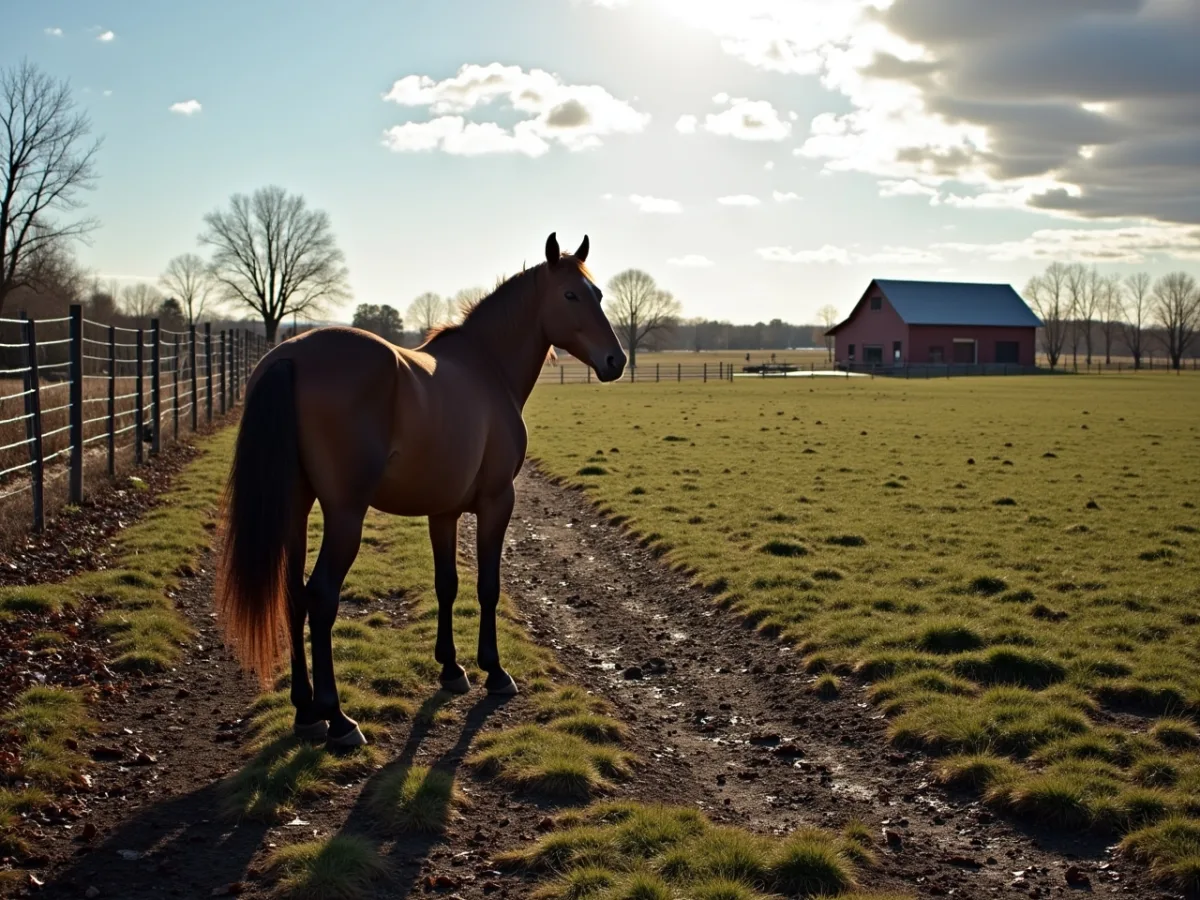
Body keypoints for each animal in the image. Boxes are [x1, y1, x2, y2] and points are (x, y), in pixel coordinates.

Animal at [213, 233, 626, 748]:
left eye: (599, 295)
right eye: (571, 295)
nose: (616, 361)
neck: (487, 368)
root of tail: (290, 357)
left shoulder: (442, 511)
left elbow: (446, 584)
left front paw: (451, 669)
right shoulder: (497, 502)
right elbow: (487, 586)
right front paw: (495, 672)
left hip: (294, 508)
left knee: (292, 594)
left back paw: (306, 711)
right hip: (345, 514)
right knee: (321, 597)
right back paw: (338, 718)